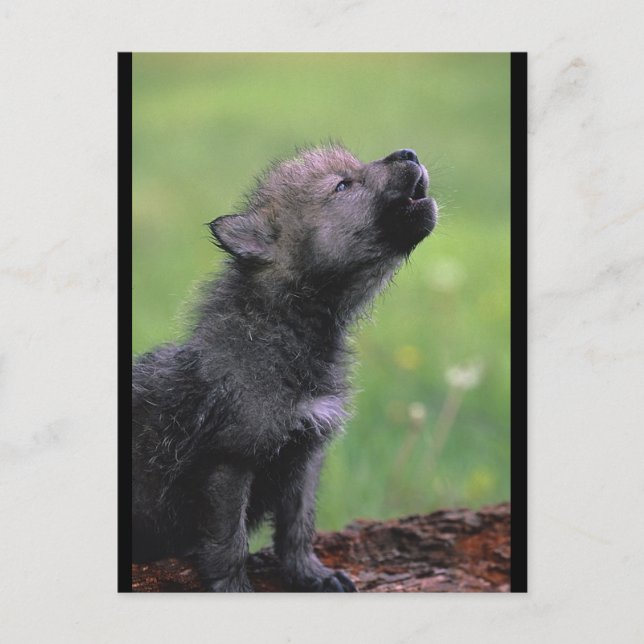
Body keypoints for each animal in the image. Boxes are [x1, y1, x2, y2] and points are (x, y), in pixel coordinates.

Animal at [132, 146, 437, 591]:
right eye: (342, 185)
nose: (408, 152)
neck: (291, 329)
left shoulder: (305, 455)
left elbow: (298, 527)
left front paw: (312, 575)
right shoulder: (230, 459)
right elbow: (229, 541)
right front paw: (234, 588)